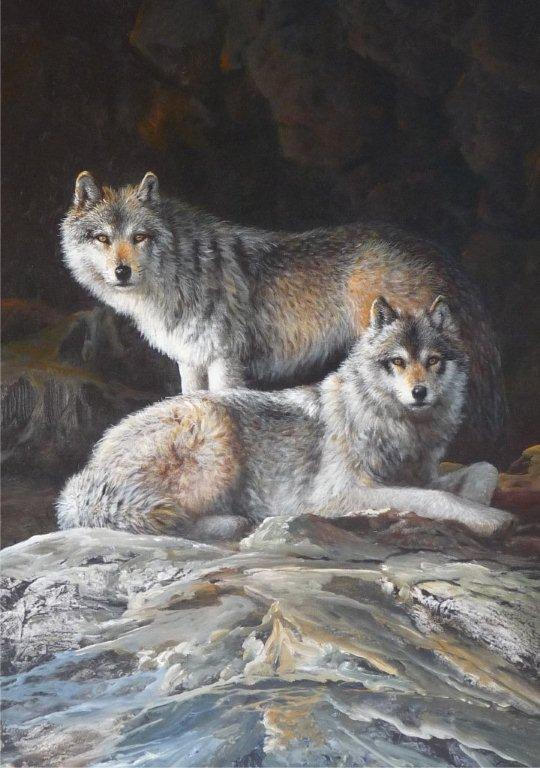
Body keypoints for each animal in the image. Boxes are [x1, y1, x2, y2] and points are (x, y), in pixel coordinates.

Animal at [57, 297, 512, 540]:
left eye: (433, 361)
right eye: (397, 362)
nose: (420, 393)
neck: (398, 426)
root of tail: (89, 467)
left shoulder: (424, 474)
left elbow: (483, 469)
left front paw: (478, 505)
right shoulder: (339, 494)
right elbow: (435, 499)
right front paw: (491, 520)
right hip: (217, 440)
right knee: (167, 520)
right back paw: (235, 521)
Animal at [60, 171, 505, 463]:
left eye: (139, 237)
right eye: (102, 238)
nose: (122, 272)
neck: (179, 272)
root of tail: (432, 249)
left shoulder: (225, 361)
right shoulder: (191, 360)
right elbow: (189, 401)